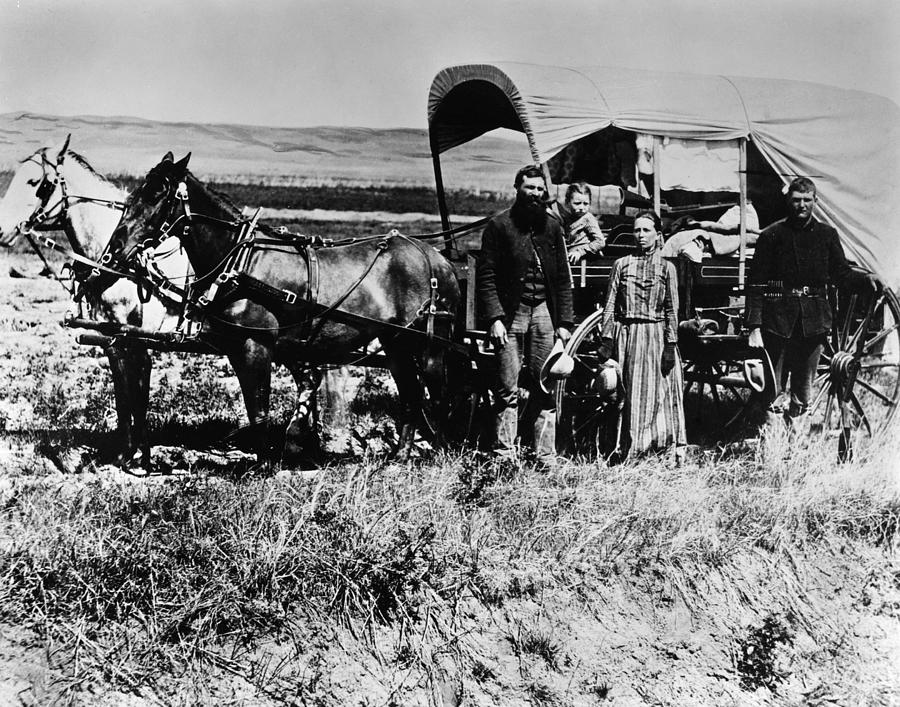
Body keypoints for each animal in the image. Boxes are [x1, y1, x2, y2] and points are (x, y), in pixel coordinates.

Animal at [0, 137, 192, 470]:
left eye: (36, 182)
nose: (0, 229)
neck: (124, 261)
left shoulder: (137, 337)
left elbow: (139, 391)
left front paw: (142, 458)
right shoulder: (111, 335)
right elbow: (123, 392)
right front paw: (124, 452)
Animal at [107, 152, 458, 468]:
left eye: (158, 194)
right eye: (136, 193)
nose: (116, 247)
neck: (240, 261)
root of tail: (438, 259)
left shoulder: (256, 346)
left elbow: (259, 408)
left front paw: (265, 464)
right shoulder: (237, 348)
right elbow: (256, 406)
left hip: (428, 345)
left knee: (438, 394)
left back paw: (443, 454)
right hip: (395, 343)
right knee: (411, 395)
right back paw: (401, 456)